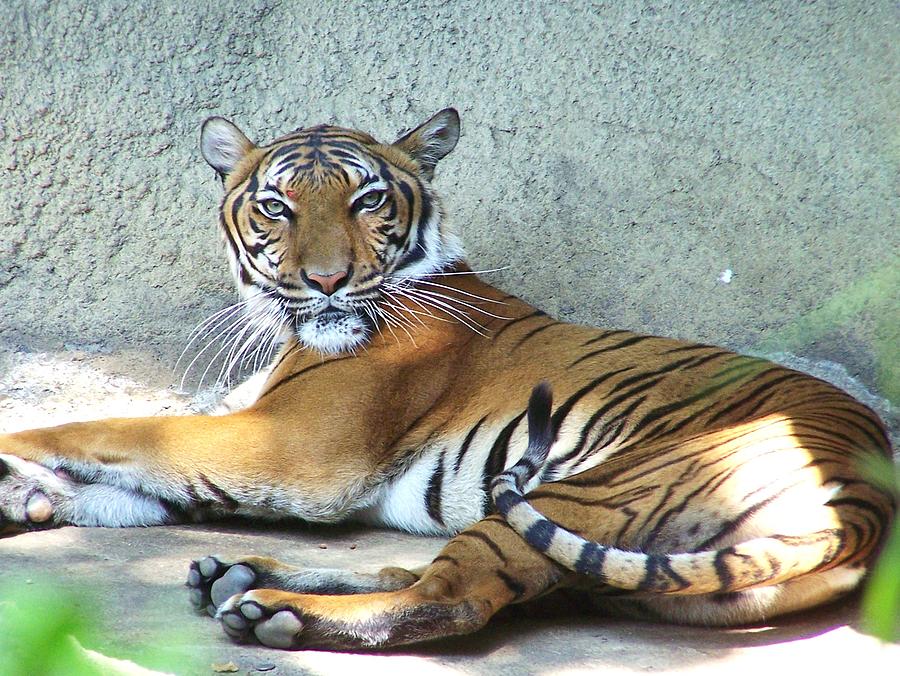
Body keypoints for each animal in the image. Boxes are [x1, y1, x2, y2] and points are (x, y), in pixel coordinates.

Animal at [0, 108, 888, 652]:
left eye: (366, 201)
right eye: (277, 207)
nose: (326, 281)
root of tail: (867, 499)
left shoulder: (291, 447)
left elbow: (111, 427)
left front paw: (16, 459)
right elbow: (125, 478)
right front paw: (30, 495)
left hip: (584, 492)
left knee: (449, 596)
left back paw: (272, 609)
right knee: (425, 571)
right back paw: (242, 574)